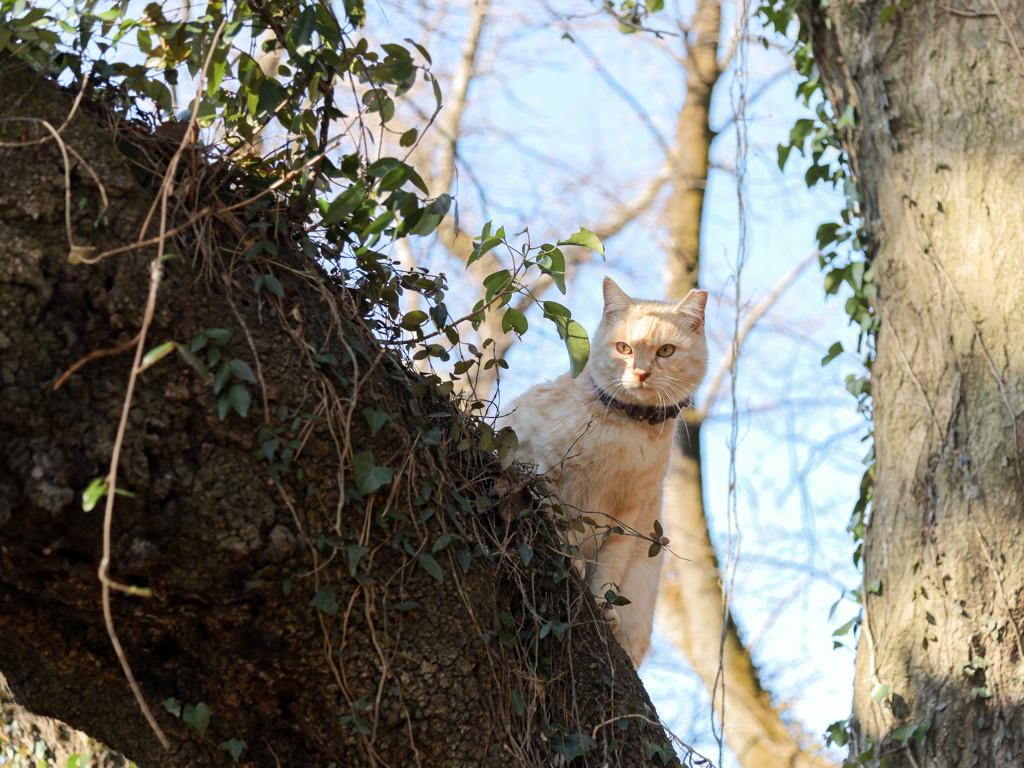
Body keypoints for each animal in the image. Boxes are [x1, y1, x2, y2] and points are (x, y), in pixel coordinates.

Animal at [499, 276, 708, 667]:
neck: (627, 430)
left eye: (666, 351)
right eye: (624, 348)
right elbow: (558, 519)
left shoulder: (629, 515)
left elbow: (611, 566)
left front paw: (601, 604)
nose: (640, 372)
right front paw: (573, 561)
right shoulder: (542, 467)